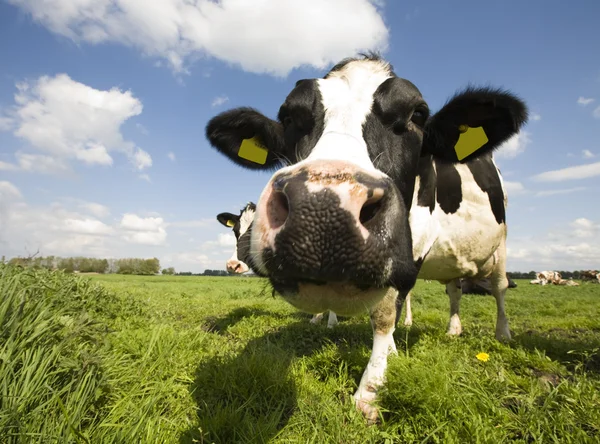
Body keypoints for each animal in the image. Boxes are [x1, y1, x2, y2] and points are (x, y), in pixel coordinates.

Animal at [205, 53, 524, 422]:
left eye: (417, 115)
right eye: (288, 116)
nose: (324, 209)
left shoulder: (415, 243)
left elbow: (385, 314)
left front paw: (371, 388)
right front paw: (378, 348)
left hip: (501, 244)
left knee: (499, 287)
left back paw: (503, 334)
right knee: (454, 289)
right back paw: (452, 329)